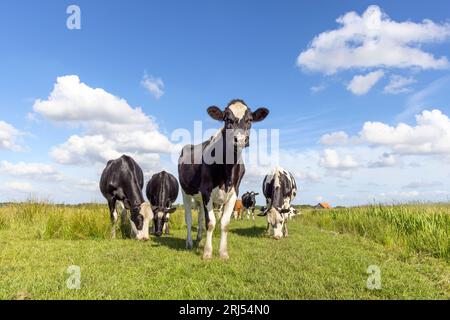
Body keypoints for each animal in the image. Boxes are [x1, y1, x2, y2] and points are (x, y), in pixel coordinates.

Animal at [178, 99, 270, 258]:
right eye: (227, 119)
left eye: (250, 120)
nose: (240, 139)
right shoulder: (206, 191)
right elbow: (211, 223)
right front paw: (207, 253)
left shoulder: (234, 193)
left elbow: (224, 223)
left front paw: (223, 252)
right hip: (186, 192)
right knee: (189, 218)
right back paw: (189, 243)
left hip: (199, 198)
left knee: (200, 216)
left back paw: (199, 239)